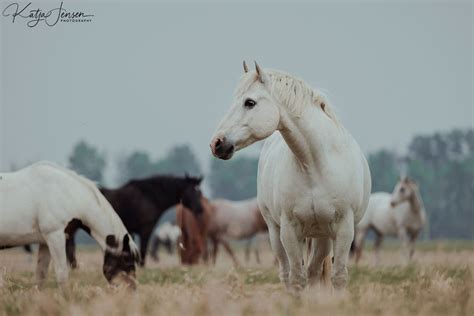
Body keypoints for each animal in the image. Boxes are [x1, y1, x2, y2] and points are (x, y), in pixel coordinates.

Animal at [0, 163, 140, 288]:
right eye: (126, 259)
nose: (131, 289)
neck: (66, 193)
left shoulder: (45, 242)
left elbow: (40, 276)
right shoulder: (55, 237)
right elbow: (62, 275)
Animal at [65, 174, 204, 268]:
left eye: (200, 192)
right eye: (192, 191)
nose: (200, 209)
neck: (149, 197)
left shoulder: (131, 231)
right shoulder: (145, 229)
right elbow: (142, 249)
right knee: (70, 246)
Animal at [210, 61, 370, 292]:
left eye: (250, 102)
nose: (216, 143)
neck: (314, 165)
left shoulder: (343, 228)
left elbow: (337, 277)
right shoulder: (289, 230)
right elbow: (296, 279)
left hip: (322, 236)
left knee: (313, 271)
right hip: (275, 232)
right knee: (288, 274)